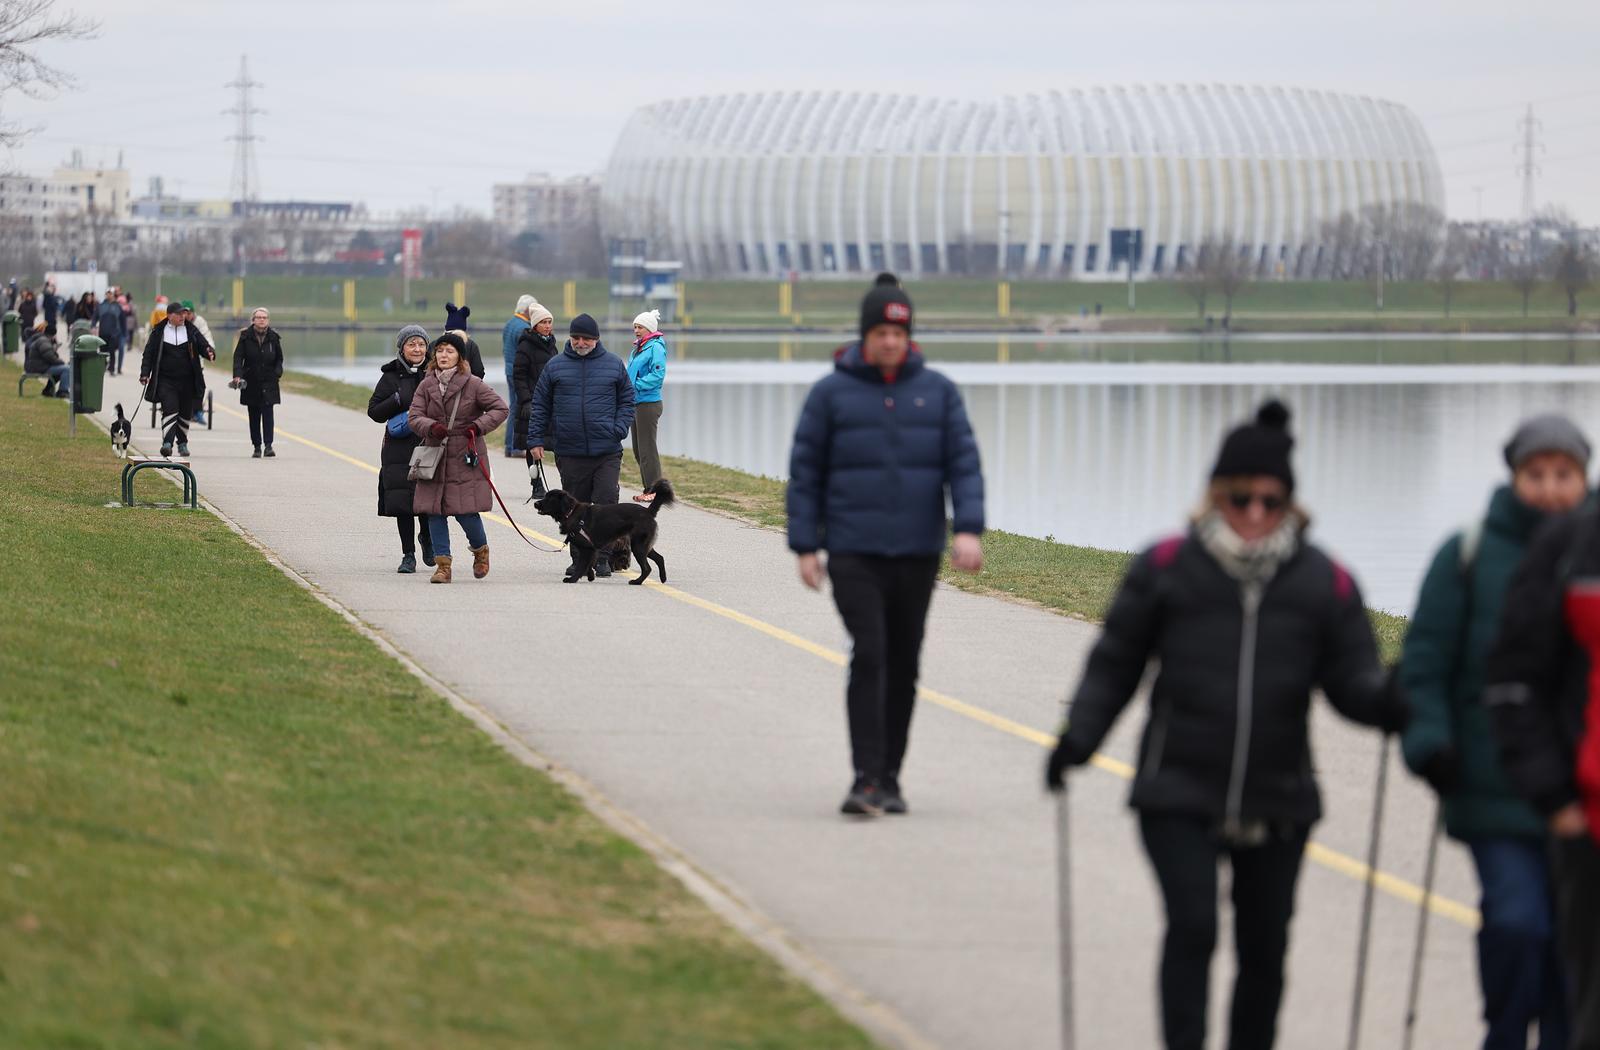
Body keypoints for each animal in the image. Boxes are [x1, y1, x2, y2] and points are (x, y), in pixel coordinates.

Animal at [531, 483, 668, 585]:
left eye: (550, 498)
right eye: (545, 496)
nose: (535, 503)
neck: (571, 512)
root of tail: (648, 511)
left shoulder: (586, 548)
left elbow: (581, 565)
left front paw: (572, 579)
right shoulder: (590, 549)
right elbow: (588, 565)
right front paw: (590, 576)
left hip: (638, 546)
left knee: (647, 568)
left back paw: (637, 582)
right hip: (643, 546)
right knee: (660, 558)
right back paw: (663, 578)